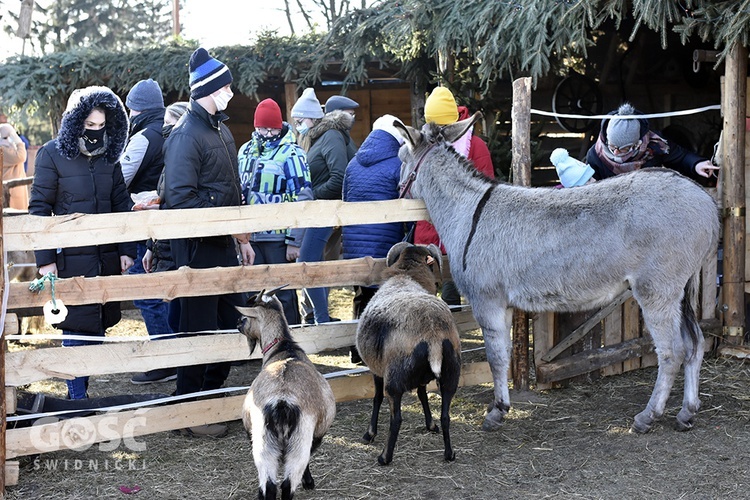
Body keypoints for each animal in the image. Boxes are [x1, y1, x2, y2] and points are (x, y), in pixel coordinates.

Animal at [238, 290, 338, 500]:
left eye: (245, 317)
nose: (236, 324)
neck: (284, 348)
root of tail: (281, 401)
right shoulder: (316, 436)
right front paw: (309, 482)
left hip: (265, 441)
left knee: (270, 484)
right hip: (298, 440)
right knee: (286, 484)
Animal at [356, 242, 462, 464]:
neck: (406, 276)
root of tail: (433, 333)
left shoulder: (376, 370)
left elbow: (376, 398)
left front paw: (369, 434)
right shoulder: (422, 378)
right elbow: (422, 395)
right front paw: (430, 425)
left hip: (394, 378)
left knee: (396, 418)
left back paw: (384, 457)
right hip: (451, 373)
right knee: (446, 415)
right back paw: (449, 454)